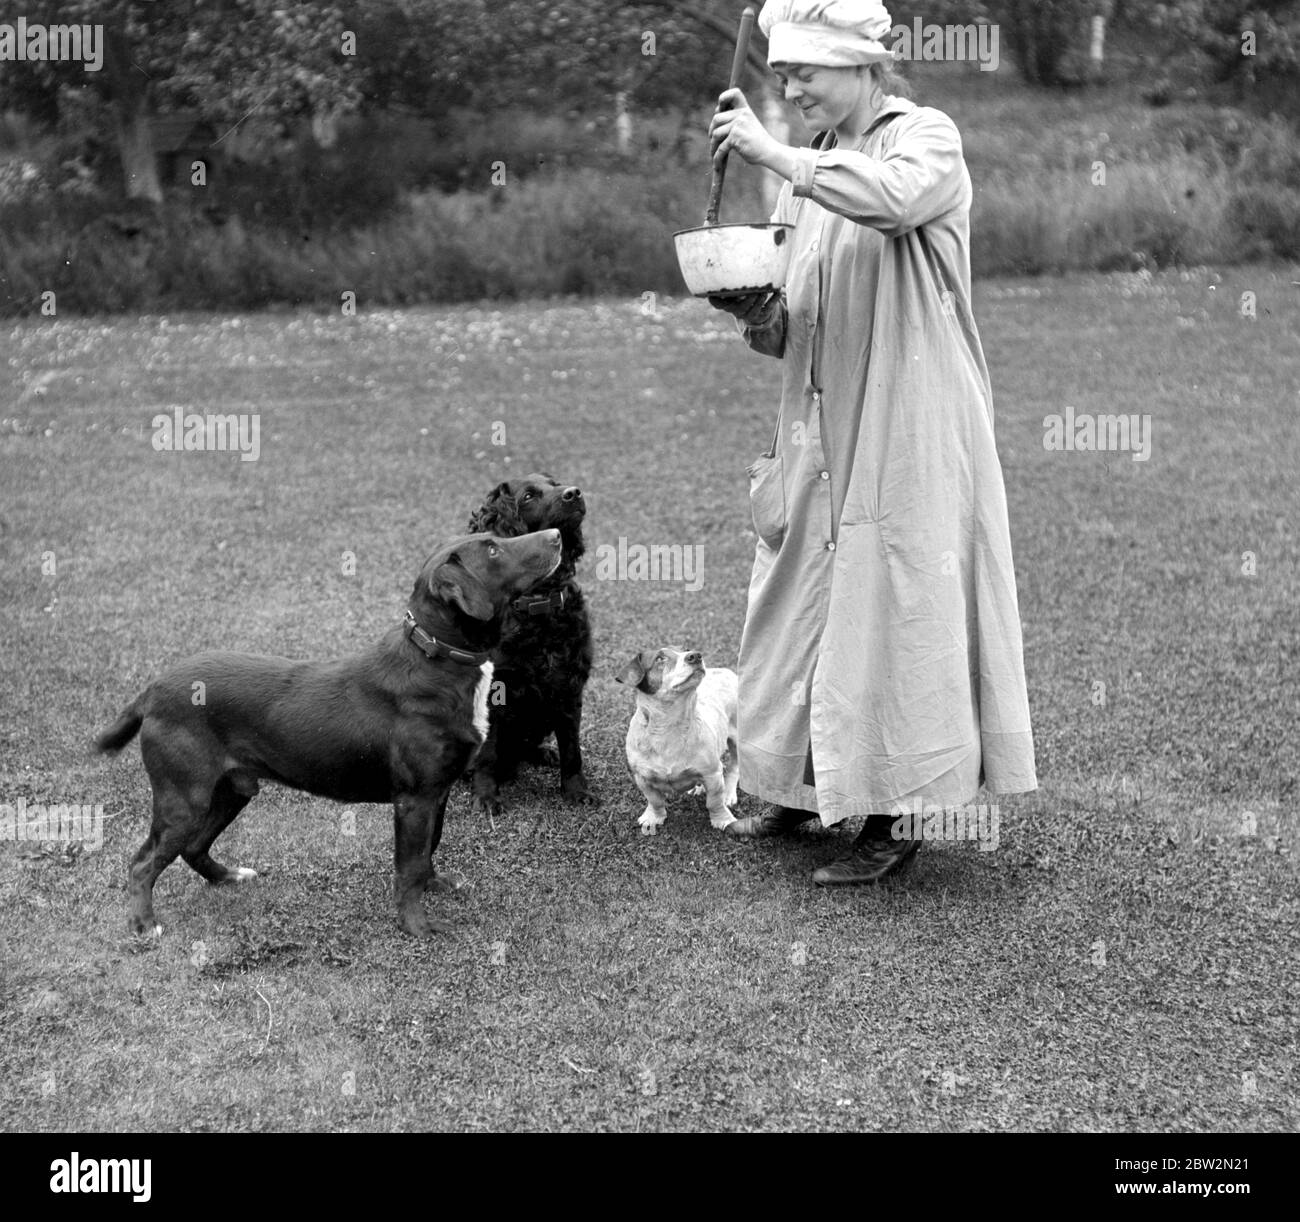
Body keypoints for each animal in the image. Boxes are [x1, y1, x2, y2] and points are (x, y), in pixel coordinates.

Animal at [91, 530, 559, 941]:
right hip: (183, 796)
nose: (556, 535)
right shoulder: (414, 799)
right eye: (493, 550)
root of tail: (152, 690)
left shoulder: (437, 792)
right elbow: (408, 867)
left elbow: (429, 850)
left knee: (192, 847)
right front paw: (416, 926)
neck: (437, 657)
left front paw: (436, 886)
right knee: (142, 862)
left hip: (232, 789)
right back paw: (144, 925)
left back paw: (228, 876)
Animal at [470, 473, 595, 816]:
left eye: (555, 482)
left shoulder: (569, 686)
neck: (540, 605)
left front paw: (576, 790)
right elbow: (486, 754)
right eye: (528, 497)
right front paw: (486, 795)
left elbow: (572, 749)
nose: (575, 492)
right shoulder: (493, 692)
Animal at [613, 644, 738, 837]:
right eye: (660, 658)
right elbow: (655, 800)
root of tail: (724, 670)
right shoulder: (642, 777)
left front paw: (722, 819)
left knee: (734, 768)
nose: (696, 656)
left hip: (738, 741)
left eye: (685, 650)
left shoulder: (712, 773)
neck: (669, 725)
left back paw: (729, 794)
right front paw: (653, 817)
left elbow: (714, 801)